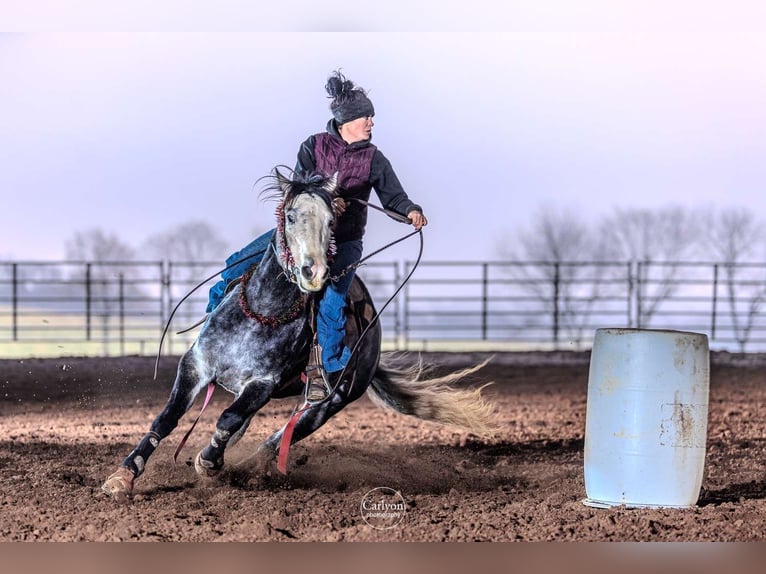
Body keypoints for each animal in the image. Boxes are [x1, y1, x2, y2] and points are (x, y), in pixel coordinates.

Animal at [102, 167, 497, 500]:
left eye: (330, 220)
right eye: (290, 216)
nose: (314, 272)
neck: (262, 312)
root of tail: (373, 340)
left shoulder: (263, 383)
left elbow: (227, 419)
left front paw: (209, 462)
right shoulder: (195, 365)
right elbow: (167, 418)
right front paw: (124, 475)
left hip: (329, 403)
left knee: (274, 441)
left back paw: (246, 469)